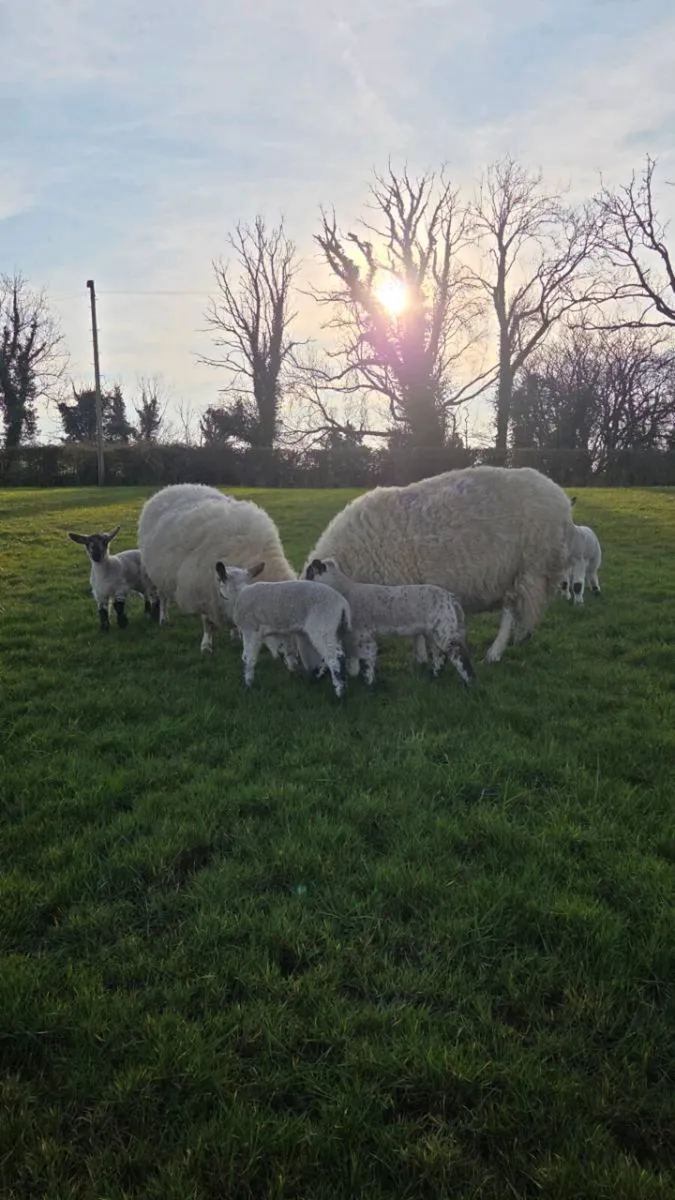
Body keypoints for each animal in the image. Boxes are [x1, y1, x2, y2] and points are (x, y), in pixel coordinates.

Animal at [138, 484, 296, 653]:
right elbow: (207, 623)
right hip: (157, 573)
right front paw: (206, 646)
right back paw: (163, 618)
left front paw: (235, 634)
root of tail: (169, 488)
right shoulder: (204, 591)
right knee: (163, 597)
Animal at [215, 561, 351, 698]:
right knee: (339, 654)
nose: (219, 594)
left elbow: (248, 658)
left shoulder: (250, 630)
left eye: (219, 580)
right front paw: (292, 670)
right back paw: (321, 676)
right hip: (334, 629)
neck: (239, 594)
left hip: (322, 627)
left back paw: (340, 692)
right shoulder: (280, 632)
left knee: (334, 658)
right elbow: (287, 652)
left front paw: (248, 684)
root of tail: (342, 604)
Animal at [304, 465, 575, 664]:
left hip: (528, 566)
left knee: (511, 612)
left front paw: (422, 658)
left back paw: (496, 651)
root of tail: (559, 494)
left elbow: (416, 630)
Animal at [304, 556, 475, 686]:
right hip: (434, 631)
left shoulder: (363, 635)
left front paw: (369, 685)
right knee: (440, 655)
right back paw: (435, 676)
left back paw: (471, 683)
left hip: (444, 627)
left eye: (308, 573)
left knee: (458, 655)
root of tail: (451, 599)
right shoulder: (353, 636)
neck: (345, 591)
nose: (301, 581)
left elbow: (367, 660)